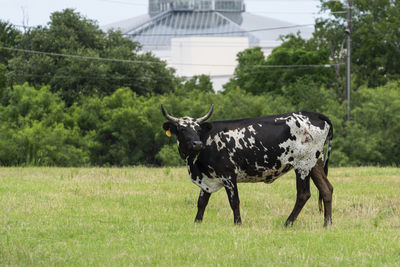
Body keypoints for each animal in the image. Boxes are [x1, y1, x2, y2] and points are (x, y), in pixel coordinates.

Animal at [161, 104, 332, 228]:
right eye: (182, 129)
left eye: (197, 129)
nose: (197, 143)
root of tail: (314, 114)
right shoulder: (208, 178)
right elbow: (201, 202)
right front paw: (197, 222)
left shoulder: (228, 175)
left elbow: (234, 201)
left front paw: (238, 224)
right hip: (315, 162)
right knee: (326, 189)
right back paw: (327, 224)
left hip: (302, 164)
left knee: (303, 194)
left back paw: (287, 223)